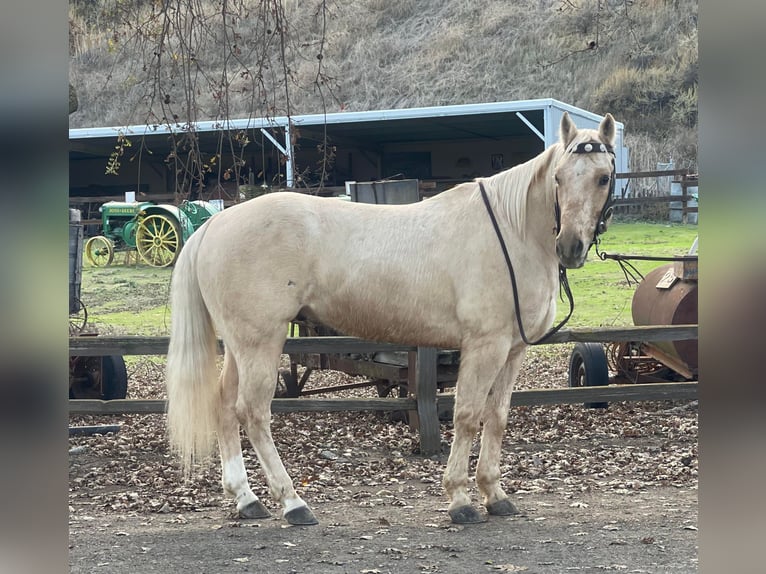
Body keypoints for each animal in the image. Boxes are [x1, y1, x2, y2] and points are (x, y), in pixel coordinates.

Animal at [166, 111, 616, 528]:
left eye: (603, 178)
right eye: (558, 177)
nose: (571, 246)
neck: (510, 229)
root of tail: (214, 223)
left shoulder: (513, 349)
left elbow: (497, 417)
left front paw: (495, 494)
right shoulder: (484, 346)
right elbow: (468, 415)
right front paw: (460, 500)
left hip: (240, 344)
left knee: (225, 404)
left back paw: (246, 498)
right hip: (261, 341)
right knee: (254, 412)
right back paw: (293, 502)